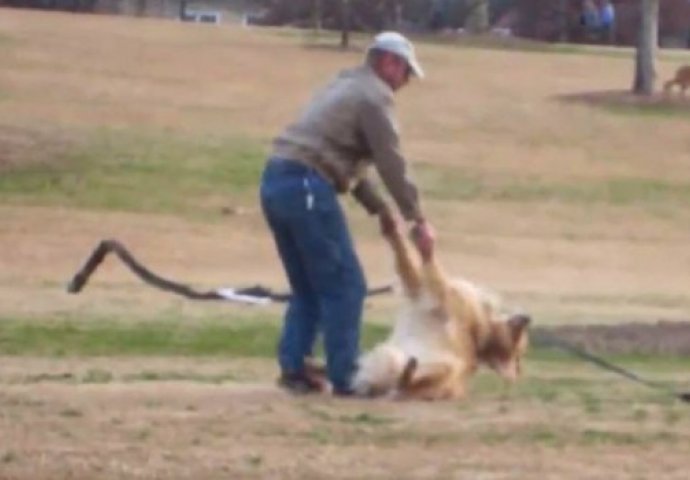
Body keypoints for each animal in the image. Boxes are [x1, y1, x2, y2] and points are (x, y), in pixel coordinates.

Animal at [352, 216, 528, 400]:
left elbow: (425, 267)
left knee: (407, 382)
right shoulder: (419, 292)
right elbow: (406, 258)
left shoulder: (438, 294)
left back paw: (407, 374)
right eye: (518, 340)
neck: (482, 330)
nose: (527, 319)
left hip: (445, 367)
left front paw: (425, 245)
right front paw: (391, 227)